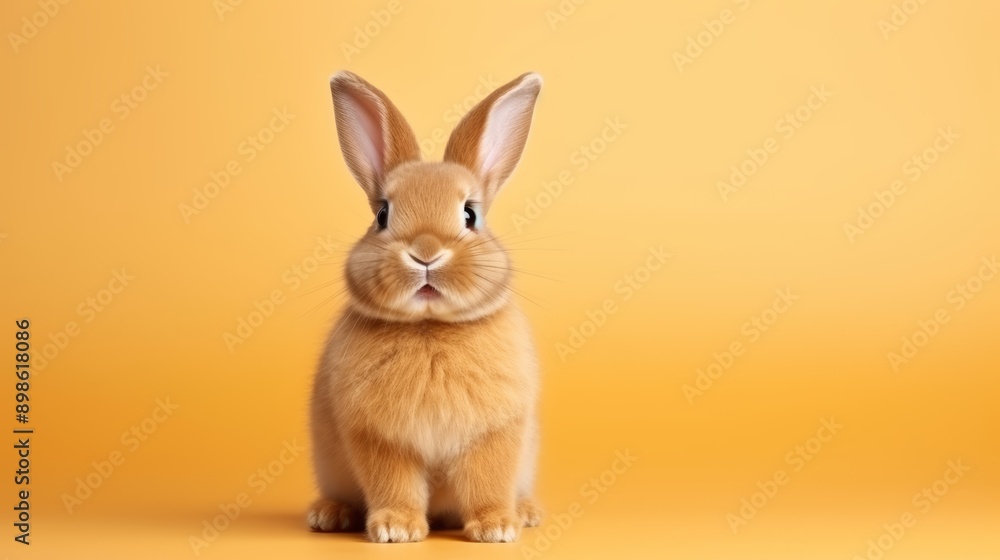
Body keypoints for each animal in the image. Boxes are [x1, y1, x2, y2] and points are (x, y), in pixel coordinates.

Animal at [307, 70, 544, 543]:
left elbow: (487, 479)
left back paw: (525, 513)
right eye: (382, 215)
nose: (426, 253)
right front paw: (395, 530)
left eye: (470, 215)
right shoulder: (381, 439)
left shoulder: (494, 433)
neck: (430, 327)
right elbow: (394, 484)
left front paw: (496, 528)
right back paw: (328, 515)